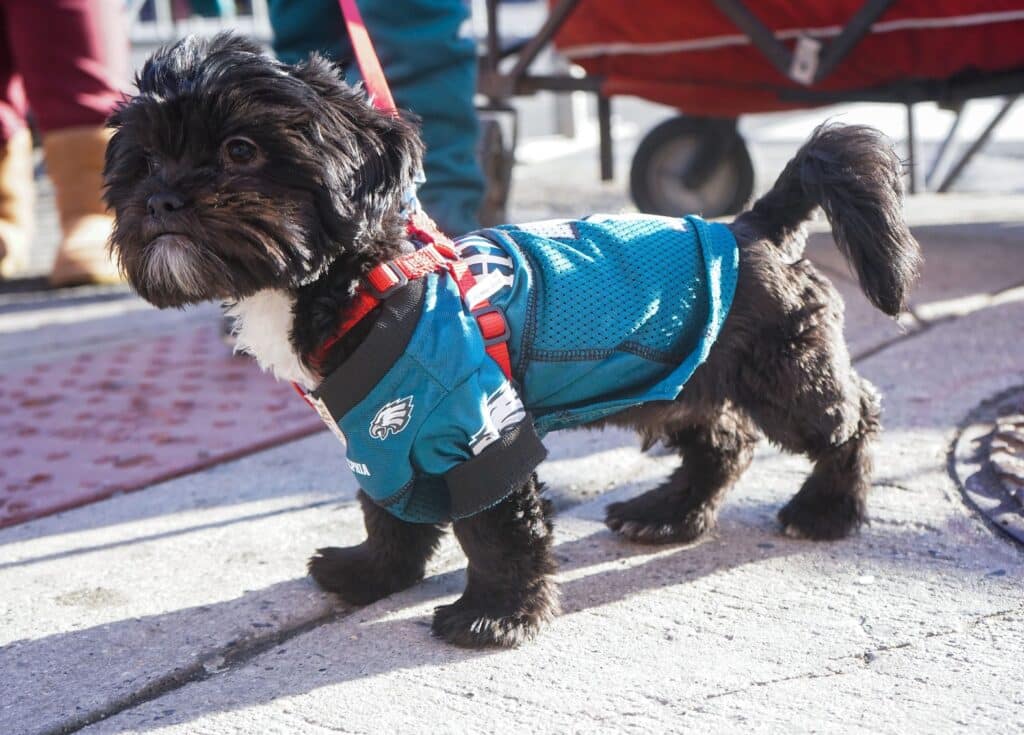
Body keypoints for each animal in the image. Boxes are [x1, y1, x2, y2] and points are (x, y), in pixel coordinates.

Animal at [103, 36, 921, 651]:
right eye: (142, 163)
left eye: (240, 149)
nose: (160, 199)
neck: (363, 276)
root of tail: (750, 224)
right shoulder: (377, 433)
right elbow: (387, 512)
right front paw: (374, 575)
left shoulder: (478, 428)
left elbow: (497, 529)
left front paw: (493, 615)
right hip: (682, 376)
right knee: (724, 440)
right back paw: (670, 511)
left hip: (786, 374)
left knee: (854, 417)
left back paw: (827, 509)